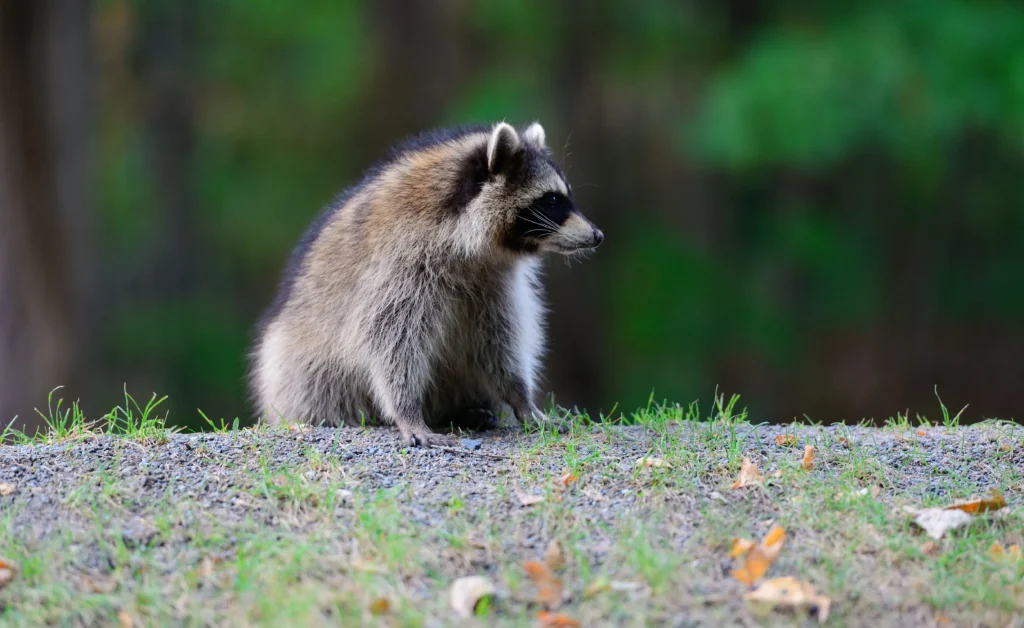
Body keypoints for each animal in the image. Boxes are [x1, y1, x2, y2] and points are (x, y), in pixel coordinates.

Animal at [250, 121, 603, 447]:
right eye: (552, 201)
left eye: (564, 197)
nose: (598, 235)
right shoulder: (400, 265)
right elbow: (390, 343)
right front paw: (406, 411)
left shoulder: (494, 282)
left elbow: (499, 341)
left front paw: (520, 397)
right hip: (299, 373)